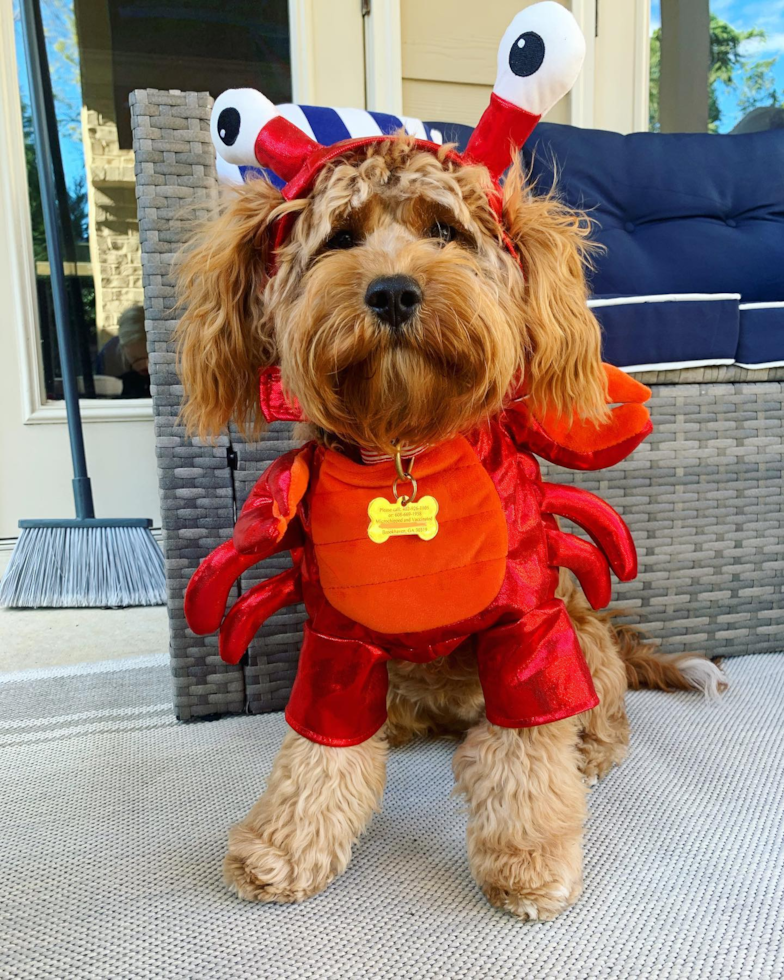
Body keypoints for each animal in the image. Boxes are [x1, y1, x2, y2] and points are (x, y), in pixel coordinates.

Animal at [173, 138, 724, 920]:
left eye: (445, 231)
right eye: (342, 238)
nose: (393, 292)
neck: (407, 446)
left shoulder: (529, 628)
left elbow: (527, 751)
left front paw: (529, 856)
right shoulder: (338, 642)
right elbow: (317, 752)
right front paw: (285, 847)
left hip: (584, 635)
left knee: (599, 717)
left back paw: (587, 751)